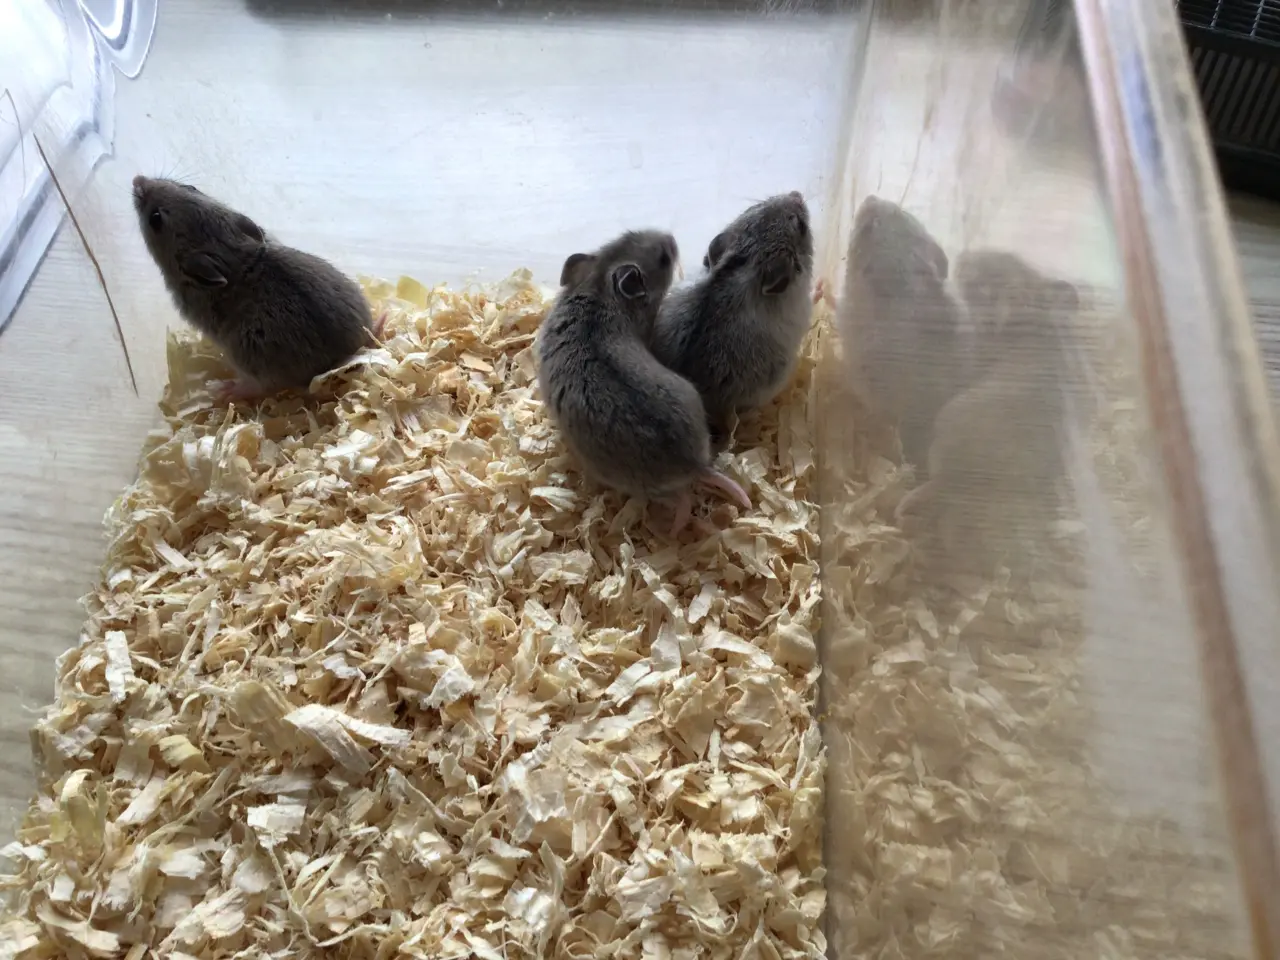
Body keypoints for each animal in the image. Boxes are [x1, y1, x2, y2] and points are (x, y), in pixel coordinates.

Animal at [132, 176, 377, 404]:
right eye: (190, 187)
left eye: (155, 219)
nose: (137, 179)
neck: (231, 254)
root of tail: (346, 358)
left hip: (250, 359)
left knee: (257, 387)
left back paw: (222, 389)